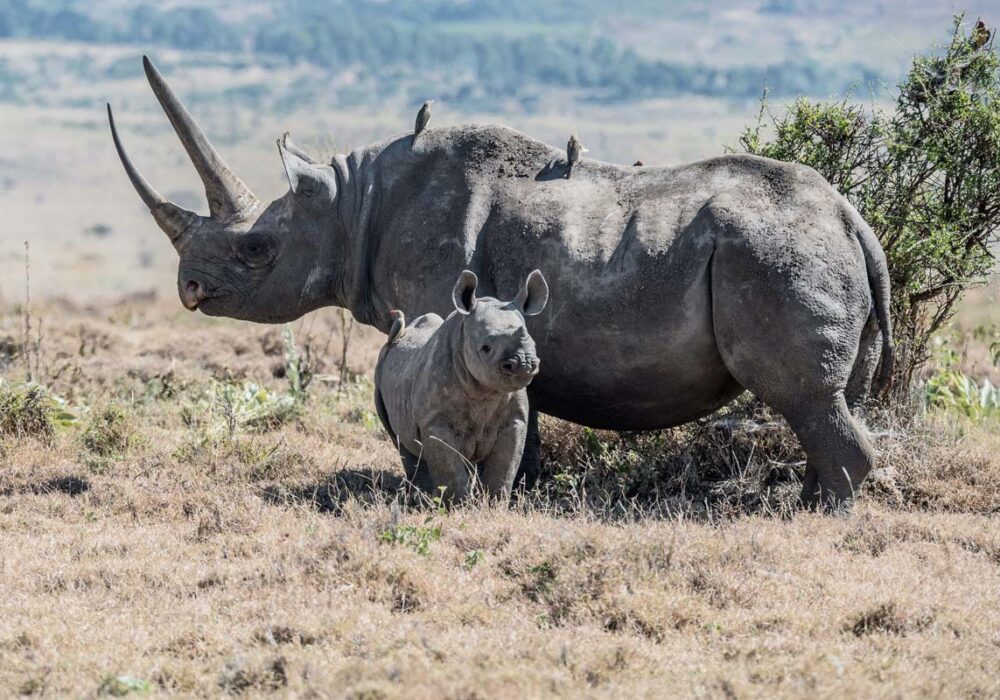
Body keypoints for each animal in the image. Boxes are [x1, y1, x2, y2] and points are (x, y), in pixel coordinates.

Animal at [374, 270, 552, 504]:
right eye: (486, 348)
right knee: (402, 442)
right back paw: (423, 498)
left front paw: (495, 504)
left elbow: (505, 467)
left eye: (534, 344)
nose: (524, 363)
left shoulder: (515, 419)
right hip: (380, 373)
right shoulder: (434, 421)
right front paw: (460, 506)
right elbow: (451, 471)